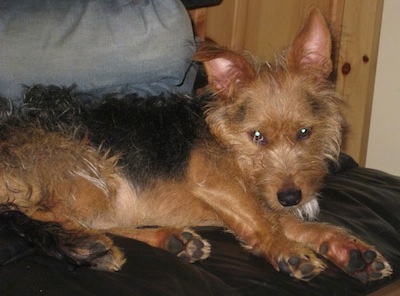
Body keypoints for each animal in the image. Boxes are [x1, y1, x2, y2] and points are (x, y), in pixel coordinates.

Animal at [0, 8, 392, 282]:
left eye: (305, 133)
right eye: (257, 136)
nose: (291, 197)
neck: (225, 139)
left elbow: (287, 220)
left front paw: (346, 247)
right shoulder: (215, 181)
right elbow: (264, 220)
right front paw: (285, 250)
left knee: (95, 220)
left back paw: (171, 240)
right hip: (89, 171)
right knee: (46, 216)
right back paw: (90, 245)